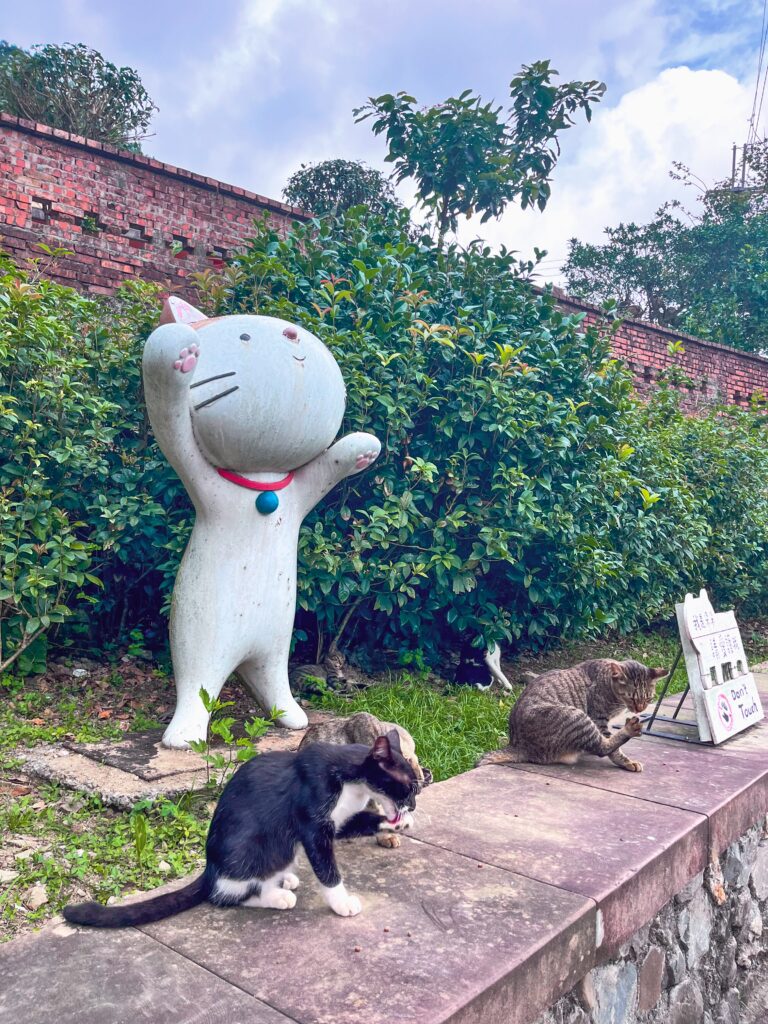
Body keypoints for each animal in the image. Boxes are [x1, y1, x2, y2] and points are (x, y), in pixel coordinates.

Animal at [142, 294, 382, 745]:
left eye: (302, 334)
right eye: (244, 336)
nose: (291, 333)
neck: (261, 481)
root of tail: (241, 658)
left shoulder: (296, 496)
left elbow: (326, 467)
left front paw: (364, 447)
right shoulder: (200, 476)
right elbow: (171, 422)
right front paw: (178, 354)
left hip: (273, 643)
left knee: (271, 676)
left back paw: (289, 714)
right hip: (201, 634)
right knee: (197, 683)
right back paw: (186, 732)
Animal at [487, 659, 667, 770]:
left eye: (648, 698)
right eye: (631, 697)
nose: (640, 709)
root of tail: (517, 745)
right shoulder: (599, 719)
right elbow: (612, 749)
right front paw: (626, 761)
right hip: (577, 717)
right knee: (602, 747)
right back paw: (630, 729)